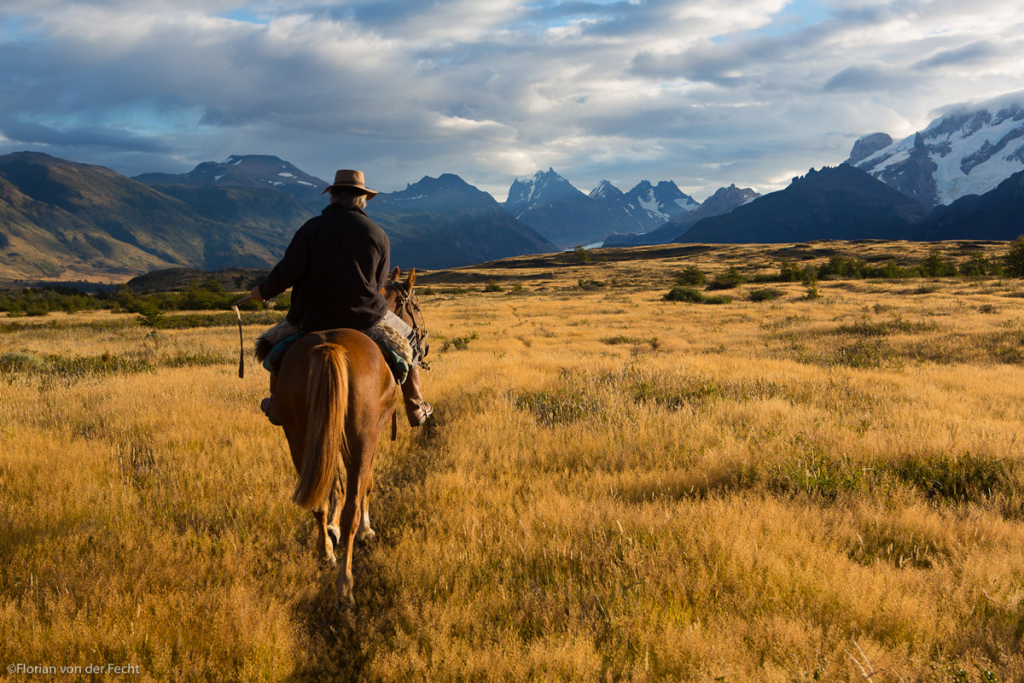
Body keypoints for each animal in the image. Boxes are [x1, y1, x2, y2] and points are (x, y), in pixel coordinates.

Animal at [270, 270, 425, 606]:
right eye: (416, 307)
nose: (422, 337)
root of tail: (330, 348)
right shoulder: (373, 433)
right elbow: (366, 485)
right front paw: (366, 530)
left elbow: (335, 486)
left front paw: (331, 531)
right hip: (360, 435)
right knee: (353, 504)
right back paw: (346, 584)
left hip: (298, 434)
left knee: (316, 498)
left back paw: (326, 553)